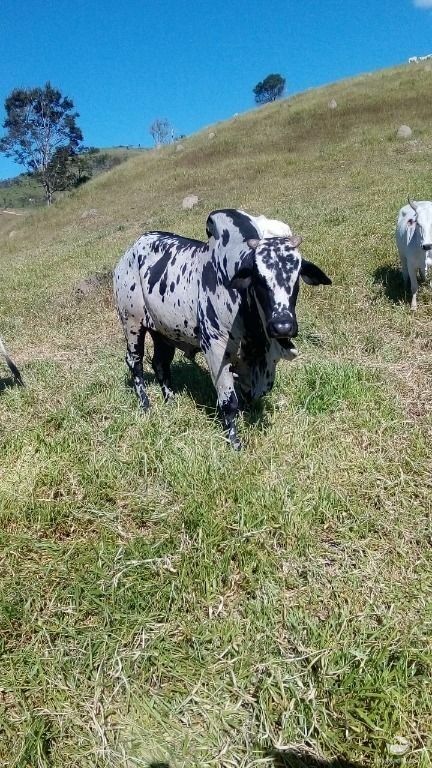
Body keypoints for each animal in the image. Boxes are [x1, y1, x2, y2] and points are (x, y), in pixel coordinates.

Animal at [112, 210, 330, 450]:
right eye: (258, 278)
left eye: (297, 276)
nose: (283, 326)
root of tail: (131, 251)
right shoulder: (216, 349)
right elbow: (229, 401)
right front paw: (234, 442)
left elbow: (247, 394)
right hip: (132, 323)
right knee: (135, 362)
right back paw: (145, 404)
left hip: (162, 332)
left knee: (160, 363)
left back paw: (170, 400)